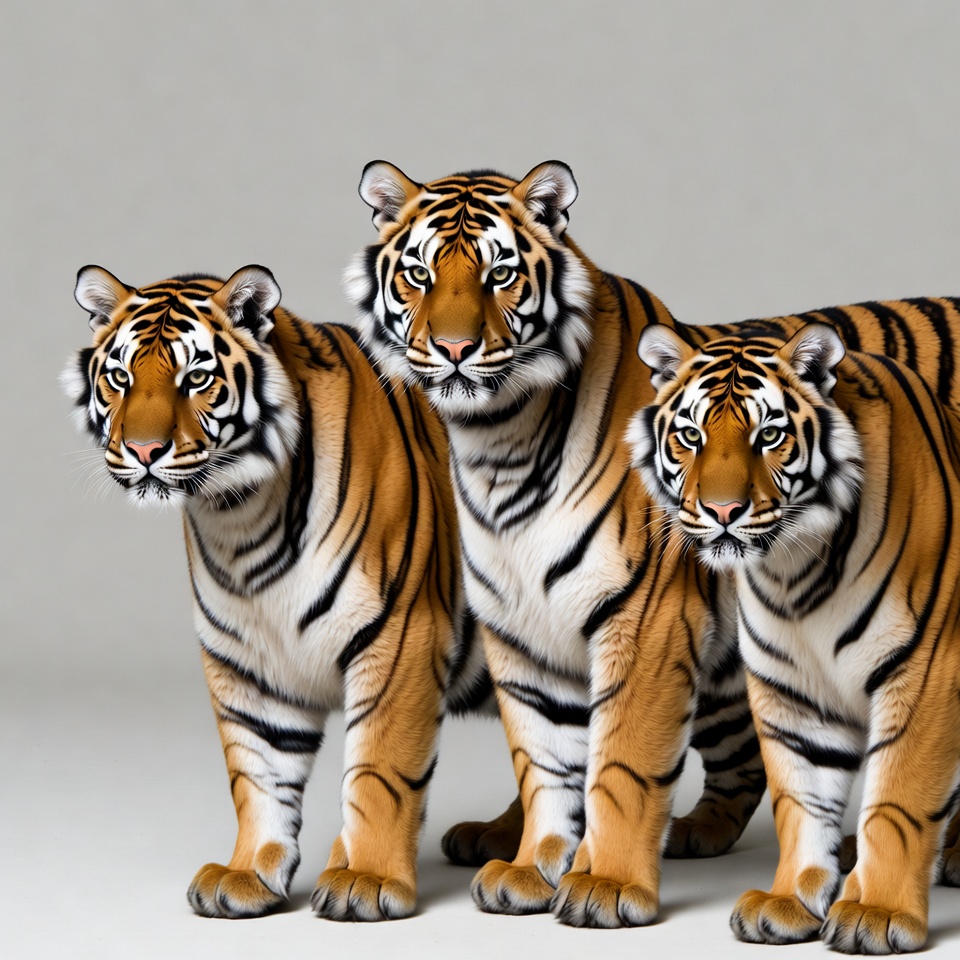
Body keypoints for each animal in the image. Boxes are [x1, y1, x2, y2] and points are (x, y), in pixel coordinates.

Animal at [61, 264, 490, 922]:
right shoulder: (245, 657)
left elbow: (380, 767)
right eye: (120, 378)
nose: (144, 451)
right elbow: (257, 773)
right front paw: (245, 875)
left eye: (196, 378)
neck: (239, 517)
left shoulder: (402, 635)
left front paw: (366, 877)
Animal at [629, 323, 960, 953]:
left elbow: (899, 800)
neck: (797, 569)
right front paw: (790, 902)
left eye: (769, 435)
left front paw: (879, 911)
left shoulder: (928, 672)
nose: (724, 510)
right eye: (691, 436)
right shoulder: (793, 690)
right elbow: (801, 798)